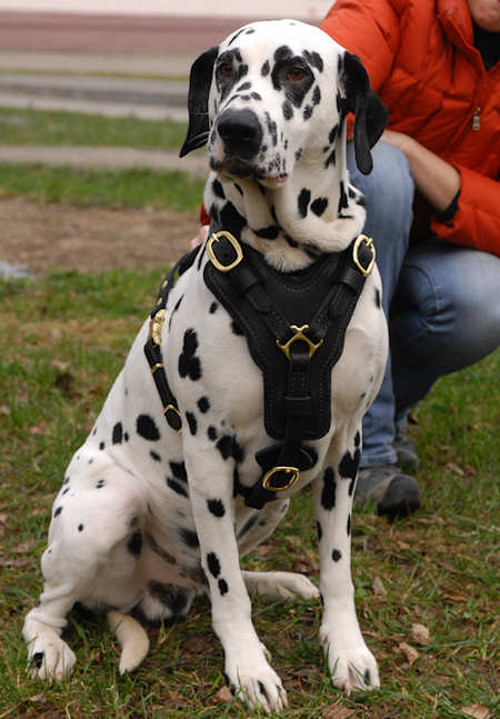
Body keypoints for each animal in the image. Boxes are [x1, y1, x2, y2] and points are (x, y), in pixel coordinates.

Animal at [23, 18, 388, 716]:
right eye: (226, 70)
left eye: (297, 72)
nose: (236, 128)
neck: (288, 263)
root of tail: (138, 594)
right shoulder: (209, 453)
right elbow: (227, 591)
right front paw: (248, 667)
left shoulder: (343, 449)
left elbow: (338, 566)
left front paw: (346, 647)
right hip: (103, 510)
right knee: (48, 606)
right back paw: (48, 648)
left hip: (276, 501)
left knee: (222, 570)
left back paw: (276, 580)